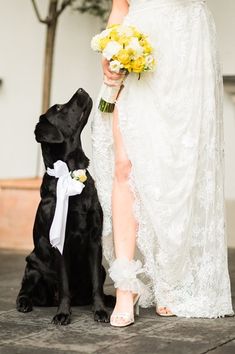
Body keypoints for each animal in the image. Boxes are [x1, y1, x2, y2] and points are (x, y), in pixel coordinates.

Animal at [16, 88, 112, 324]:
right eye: (58, 108)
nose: (80, 89)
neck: (71, 173)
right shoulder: (60, 242)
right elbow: (65, 284)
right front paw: (62, 314)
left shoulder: (94, 239)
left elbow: (96, 285)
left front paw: (100, 311)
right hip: (32, 267)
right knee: (24, 291)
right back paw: (25, 304)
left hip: (102, 268)